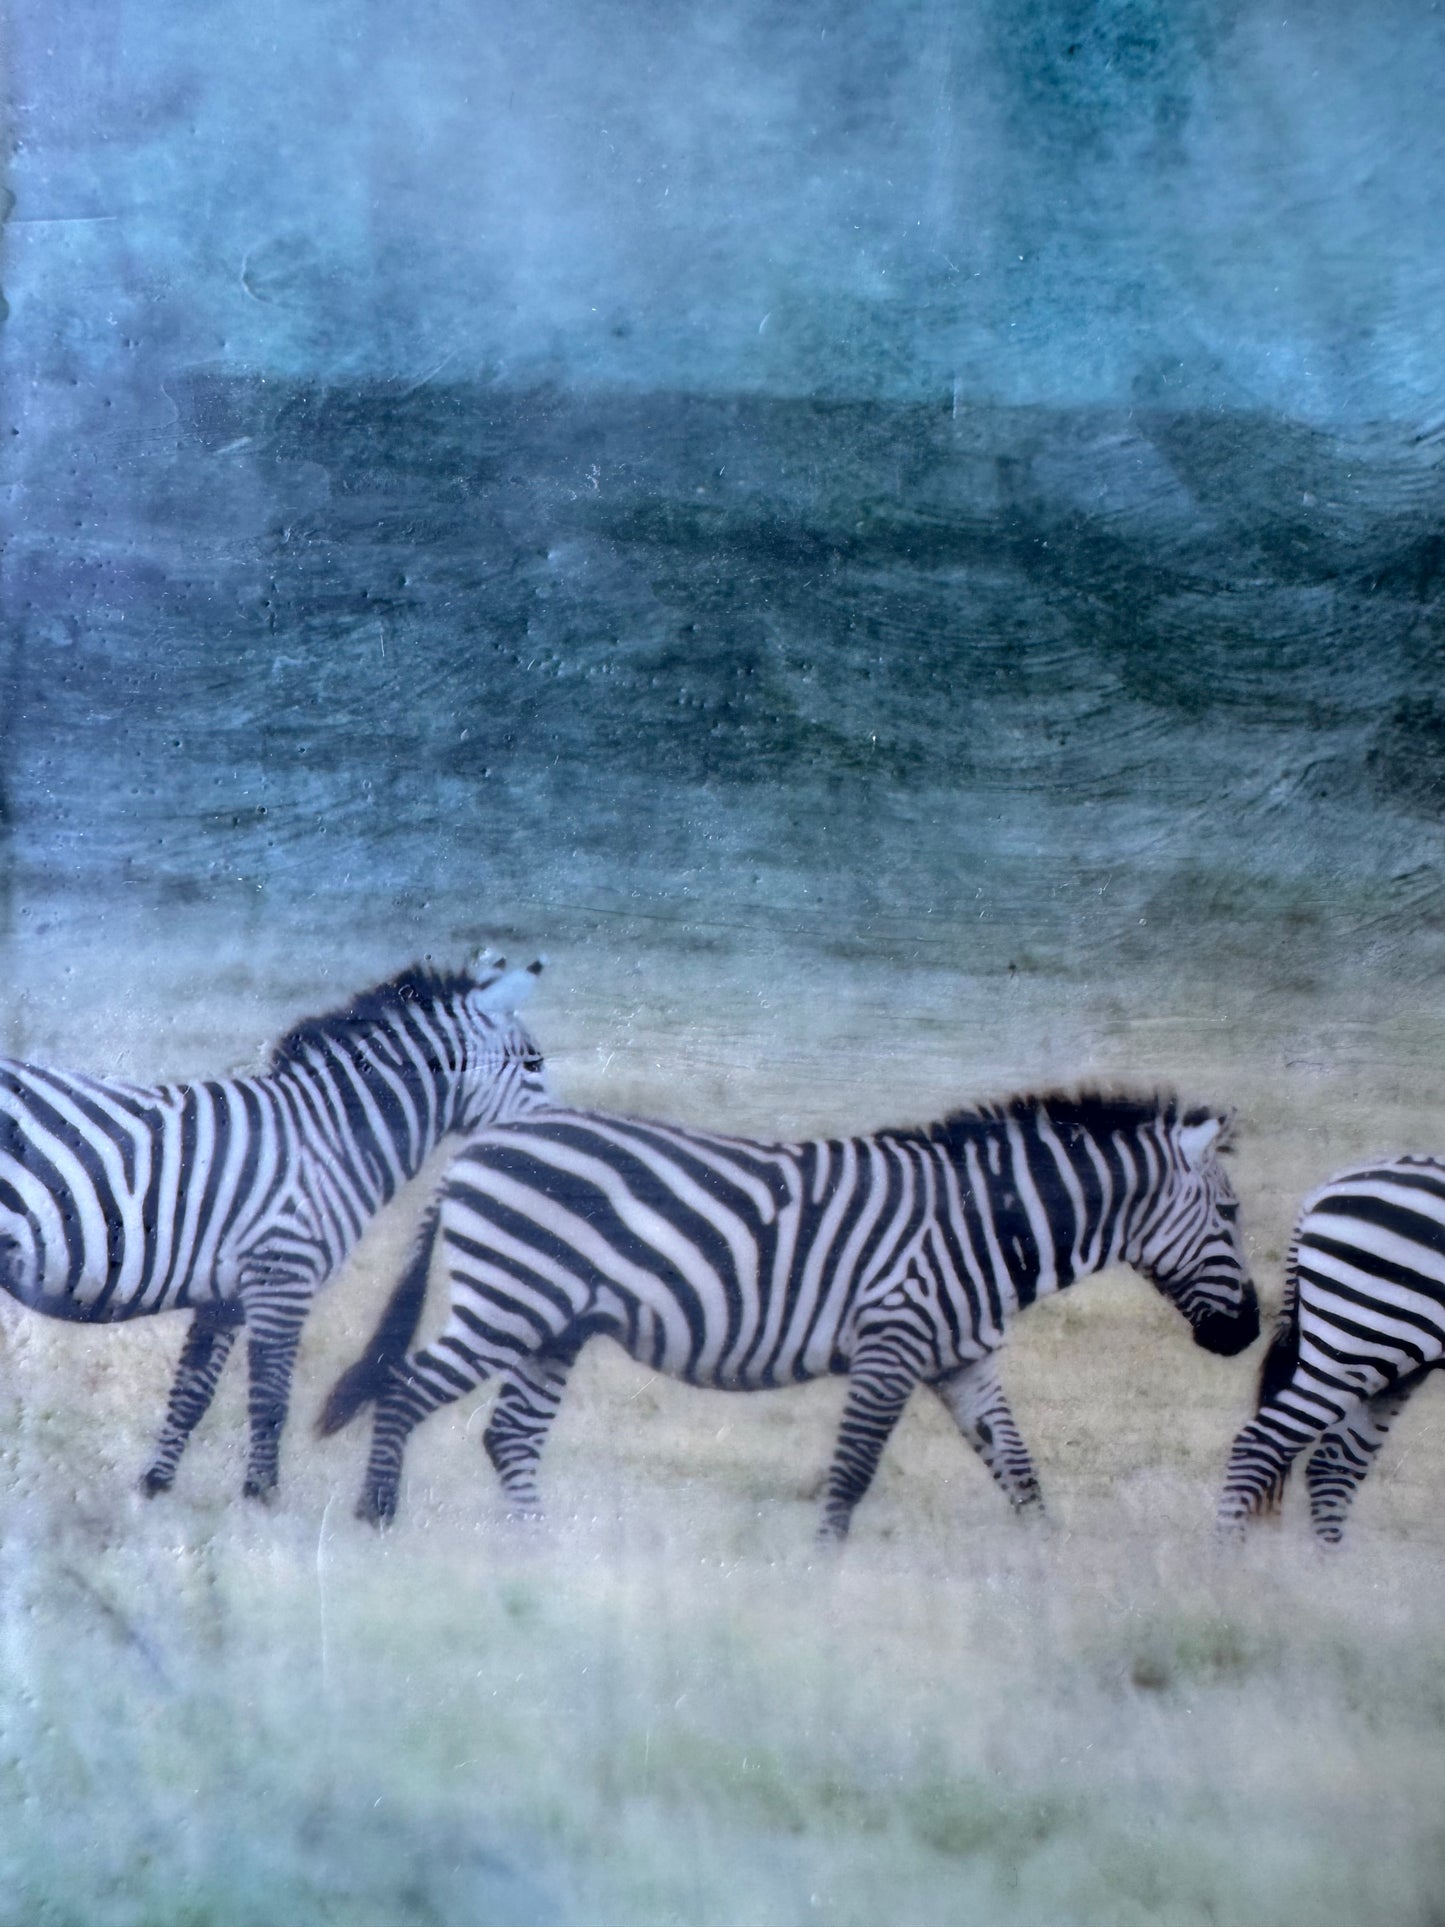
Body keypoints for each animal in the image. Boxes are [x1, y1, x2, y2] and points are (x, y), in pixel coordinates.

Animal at [0, 956, 550, 1503]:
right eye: (533, 1065)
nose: (554, 1145)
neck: (333, 1138)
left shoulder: (226, 1298)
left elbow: (191, 1396)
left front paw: (155, 1489)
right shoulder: (283, 1277)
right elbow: (270, 1402)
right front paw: (261, 1500)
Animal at [319, 1091, 1258, 1539]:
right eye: (1231, 1214)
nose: (1247, 1332)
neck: (985, 1222)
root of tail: (476, 1148)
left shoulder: (963, 1358)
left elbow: (1019, 1469)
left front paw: (1043, 1564)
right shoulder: (893, 1338)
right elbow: (853, 1470)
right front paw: (823, 1567)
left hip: (553, 1323)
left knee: (508, 1434)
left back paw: (541, 1549)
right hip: (508, 1301)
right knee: (405, 1389)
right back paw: (378, 1517)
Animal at [1219, 1155, 1445, 1542]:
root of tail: (1324, 1190)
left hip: (1394, 1363)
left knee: (1334, 1465)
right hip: (1358, 1341)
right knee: (1261, 1445)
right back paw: (1223, 1557)